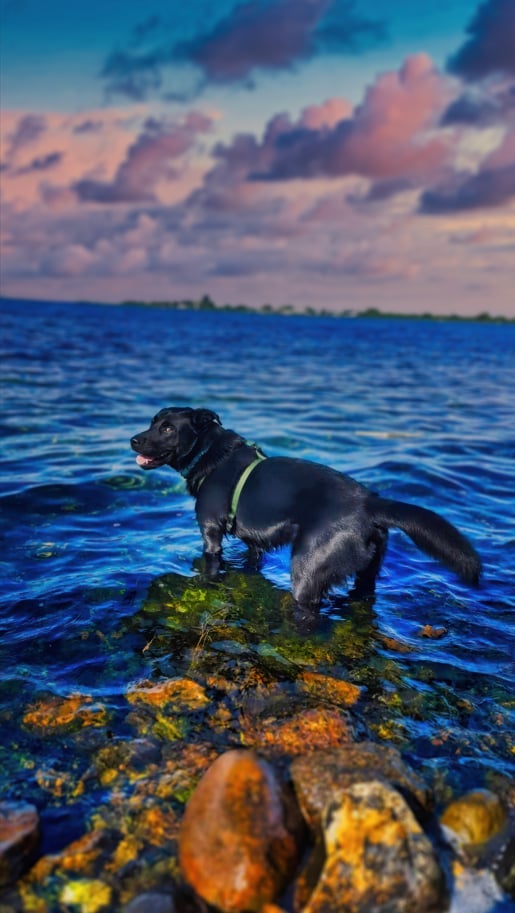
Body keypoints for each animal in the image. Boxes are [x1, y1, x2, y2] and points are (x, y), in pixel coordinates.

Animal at [131, 404, 482, 604]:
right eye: (152, 421)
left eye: (167, 428)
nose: (133, 439)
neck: (212, 454)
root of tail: (370, 503)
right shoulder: (253, 544)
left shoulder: (211, 533)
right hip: (367, 574)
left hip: (308, 569)